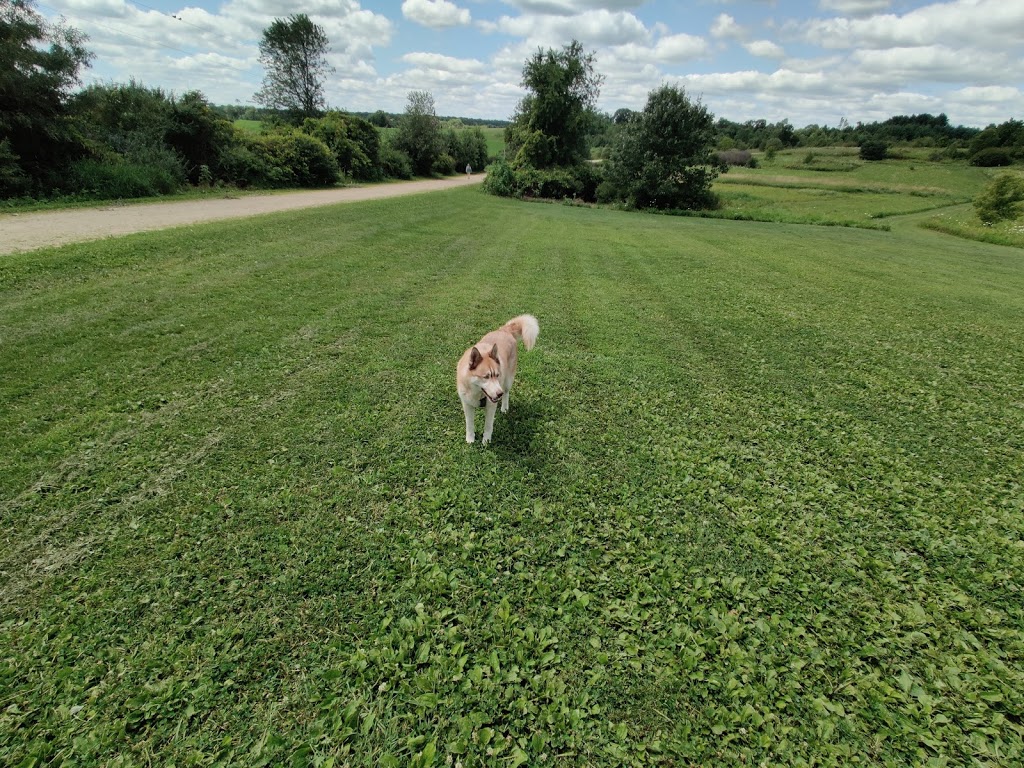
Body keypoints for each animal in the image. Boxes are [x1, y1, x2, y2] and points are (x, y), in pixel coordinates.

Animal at [458, 313, 540, 444]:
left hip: (507, 381)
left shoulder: (491, 405)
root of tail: (504, 330)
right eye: (486, 377)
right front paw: (470, 439)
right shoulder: (467, 405)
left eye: (497, 375)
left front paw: (486, 441)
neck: (477, 393)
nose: (498, 393)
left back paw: (504, 407)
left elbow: (488, 425)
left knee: (507, 393)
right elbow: (469, 425)